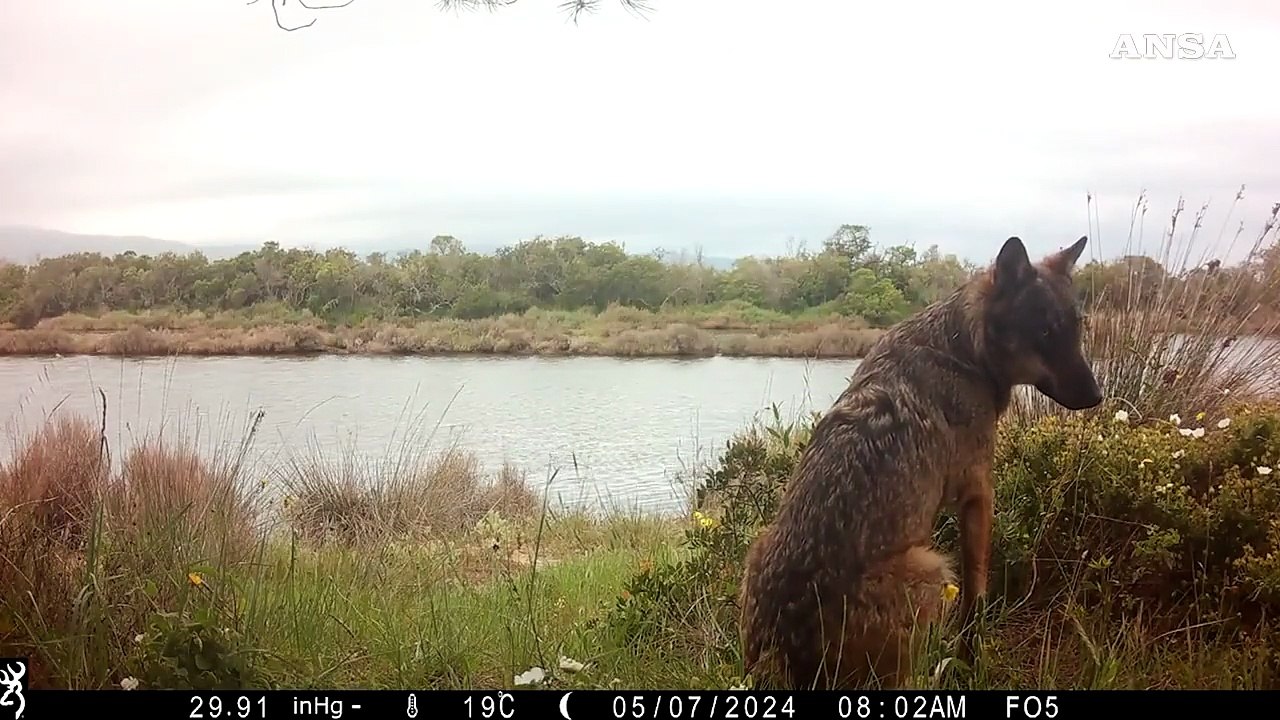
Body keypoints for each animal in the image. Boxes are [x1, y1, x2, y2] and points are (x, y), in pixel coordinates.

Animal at [738, 235, 1103, 690]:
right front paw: (969, 663)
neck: (964, 351)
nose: (1097, 396)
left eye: (1077, 328)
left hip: (759, 546)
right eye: (1046, 332)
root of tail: (785, 653)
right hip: (932, 570)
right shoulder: (978, 494)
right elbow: (975, 598)